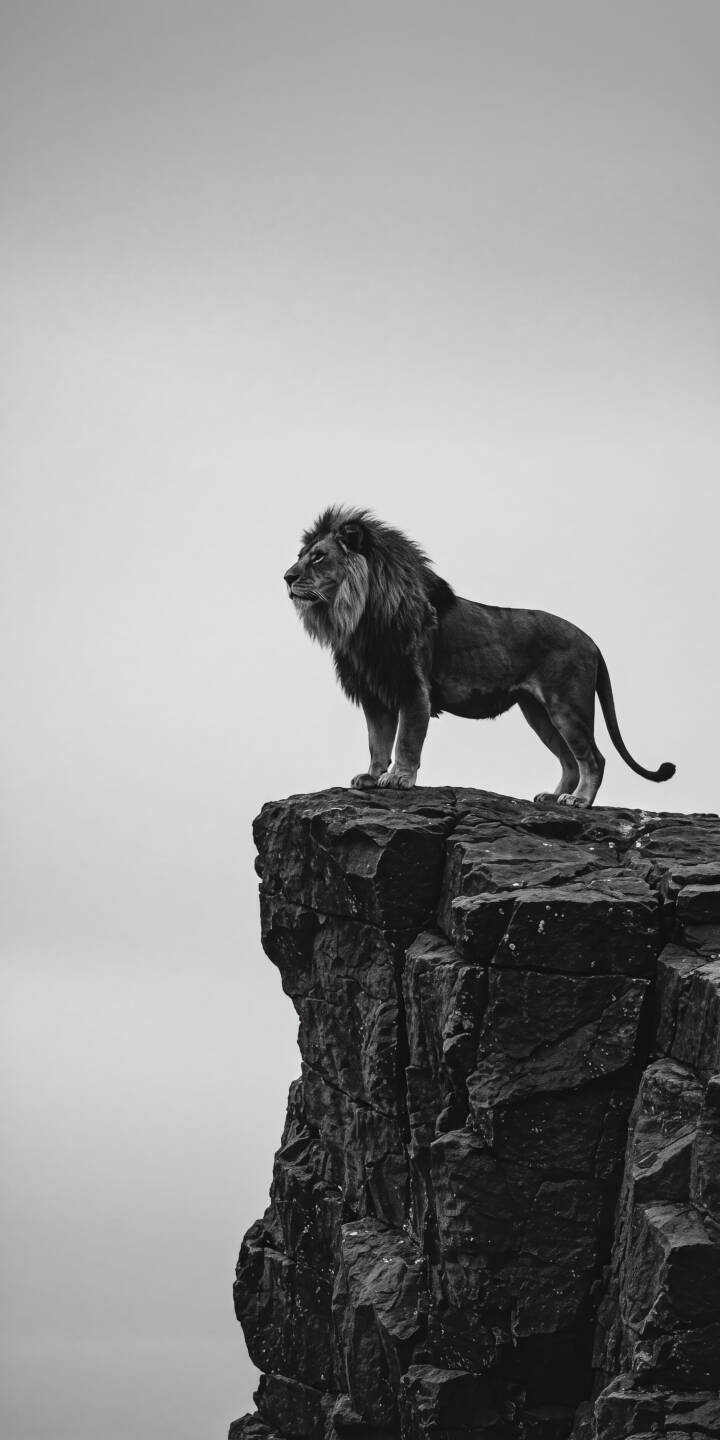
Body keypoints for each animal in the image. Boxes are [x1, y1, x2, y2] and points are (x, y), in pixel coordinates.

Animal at [283, 506, 675, 808]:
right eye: (300, 556)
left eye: (319, 556)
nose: (286, 576)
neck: (357, 617)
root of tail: (592, 641)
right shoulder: (374, 693)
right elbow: (377, 741)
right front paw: (372, 775)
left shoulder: (414, 688)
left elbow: (406, 739)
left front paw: (398, 778)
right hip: (538, 713)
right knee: (569, 760)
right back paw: (553, 797)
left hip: (567, 706)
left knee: (593, 758)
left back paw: (579, 800)